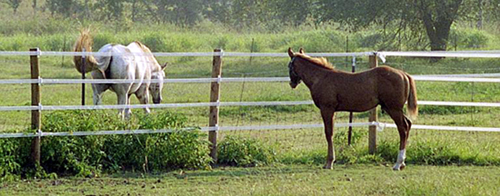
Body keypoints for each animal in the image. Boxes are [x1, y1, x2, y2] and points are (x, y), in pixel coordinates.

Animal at [288, 47, 416, 170]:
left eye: (289, 66)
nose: (292, 83)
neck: (321, 77)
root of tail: (404, 74)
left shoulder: (326, 109)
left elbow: (328, 133)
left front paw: (329, 162)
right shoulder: (332, 111)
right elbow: (331, 132)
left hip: (394, 109)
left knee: (403, 128)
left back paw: (398, 164)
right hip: (392, 108)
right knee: (408, 124)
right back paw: (402, 163)